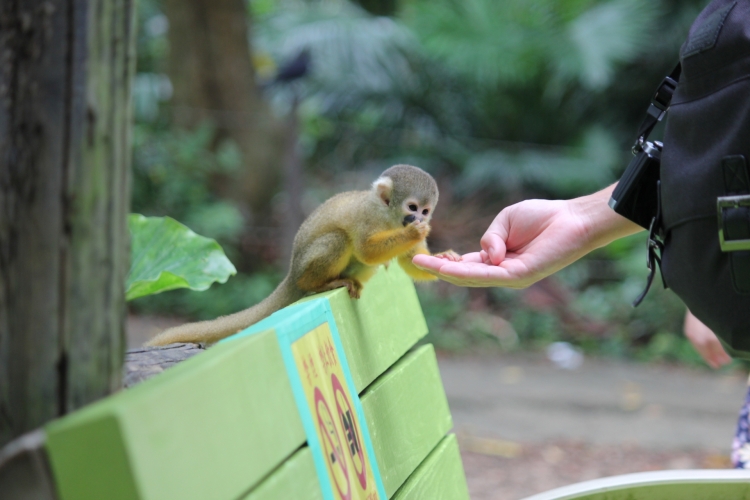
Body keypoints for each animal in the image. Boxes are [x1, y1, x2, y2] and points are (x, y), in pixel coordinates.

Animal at [145, 166, 462, 346]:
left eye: (425, 210)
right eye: (412, 207)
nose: (419, 219)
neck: (389, 218)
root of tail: (291, 273)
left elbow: (410, 262)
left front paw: (443, 256)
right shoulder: (368, 216)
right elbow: (365, 249)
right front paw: (413, 235)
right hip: (305, 266)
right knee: (338, 239)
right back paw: (319, 284)